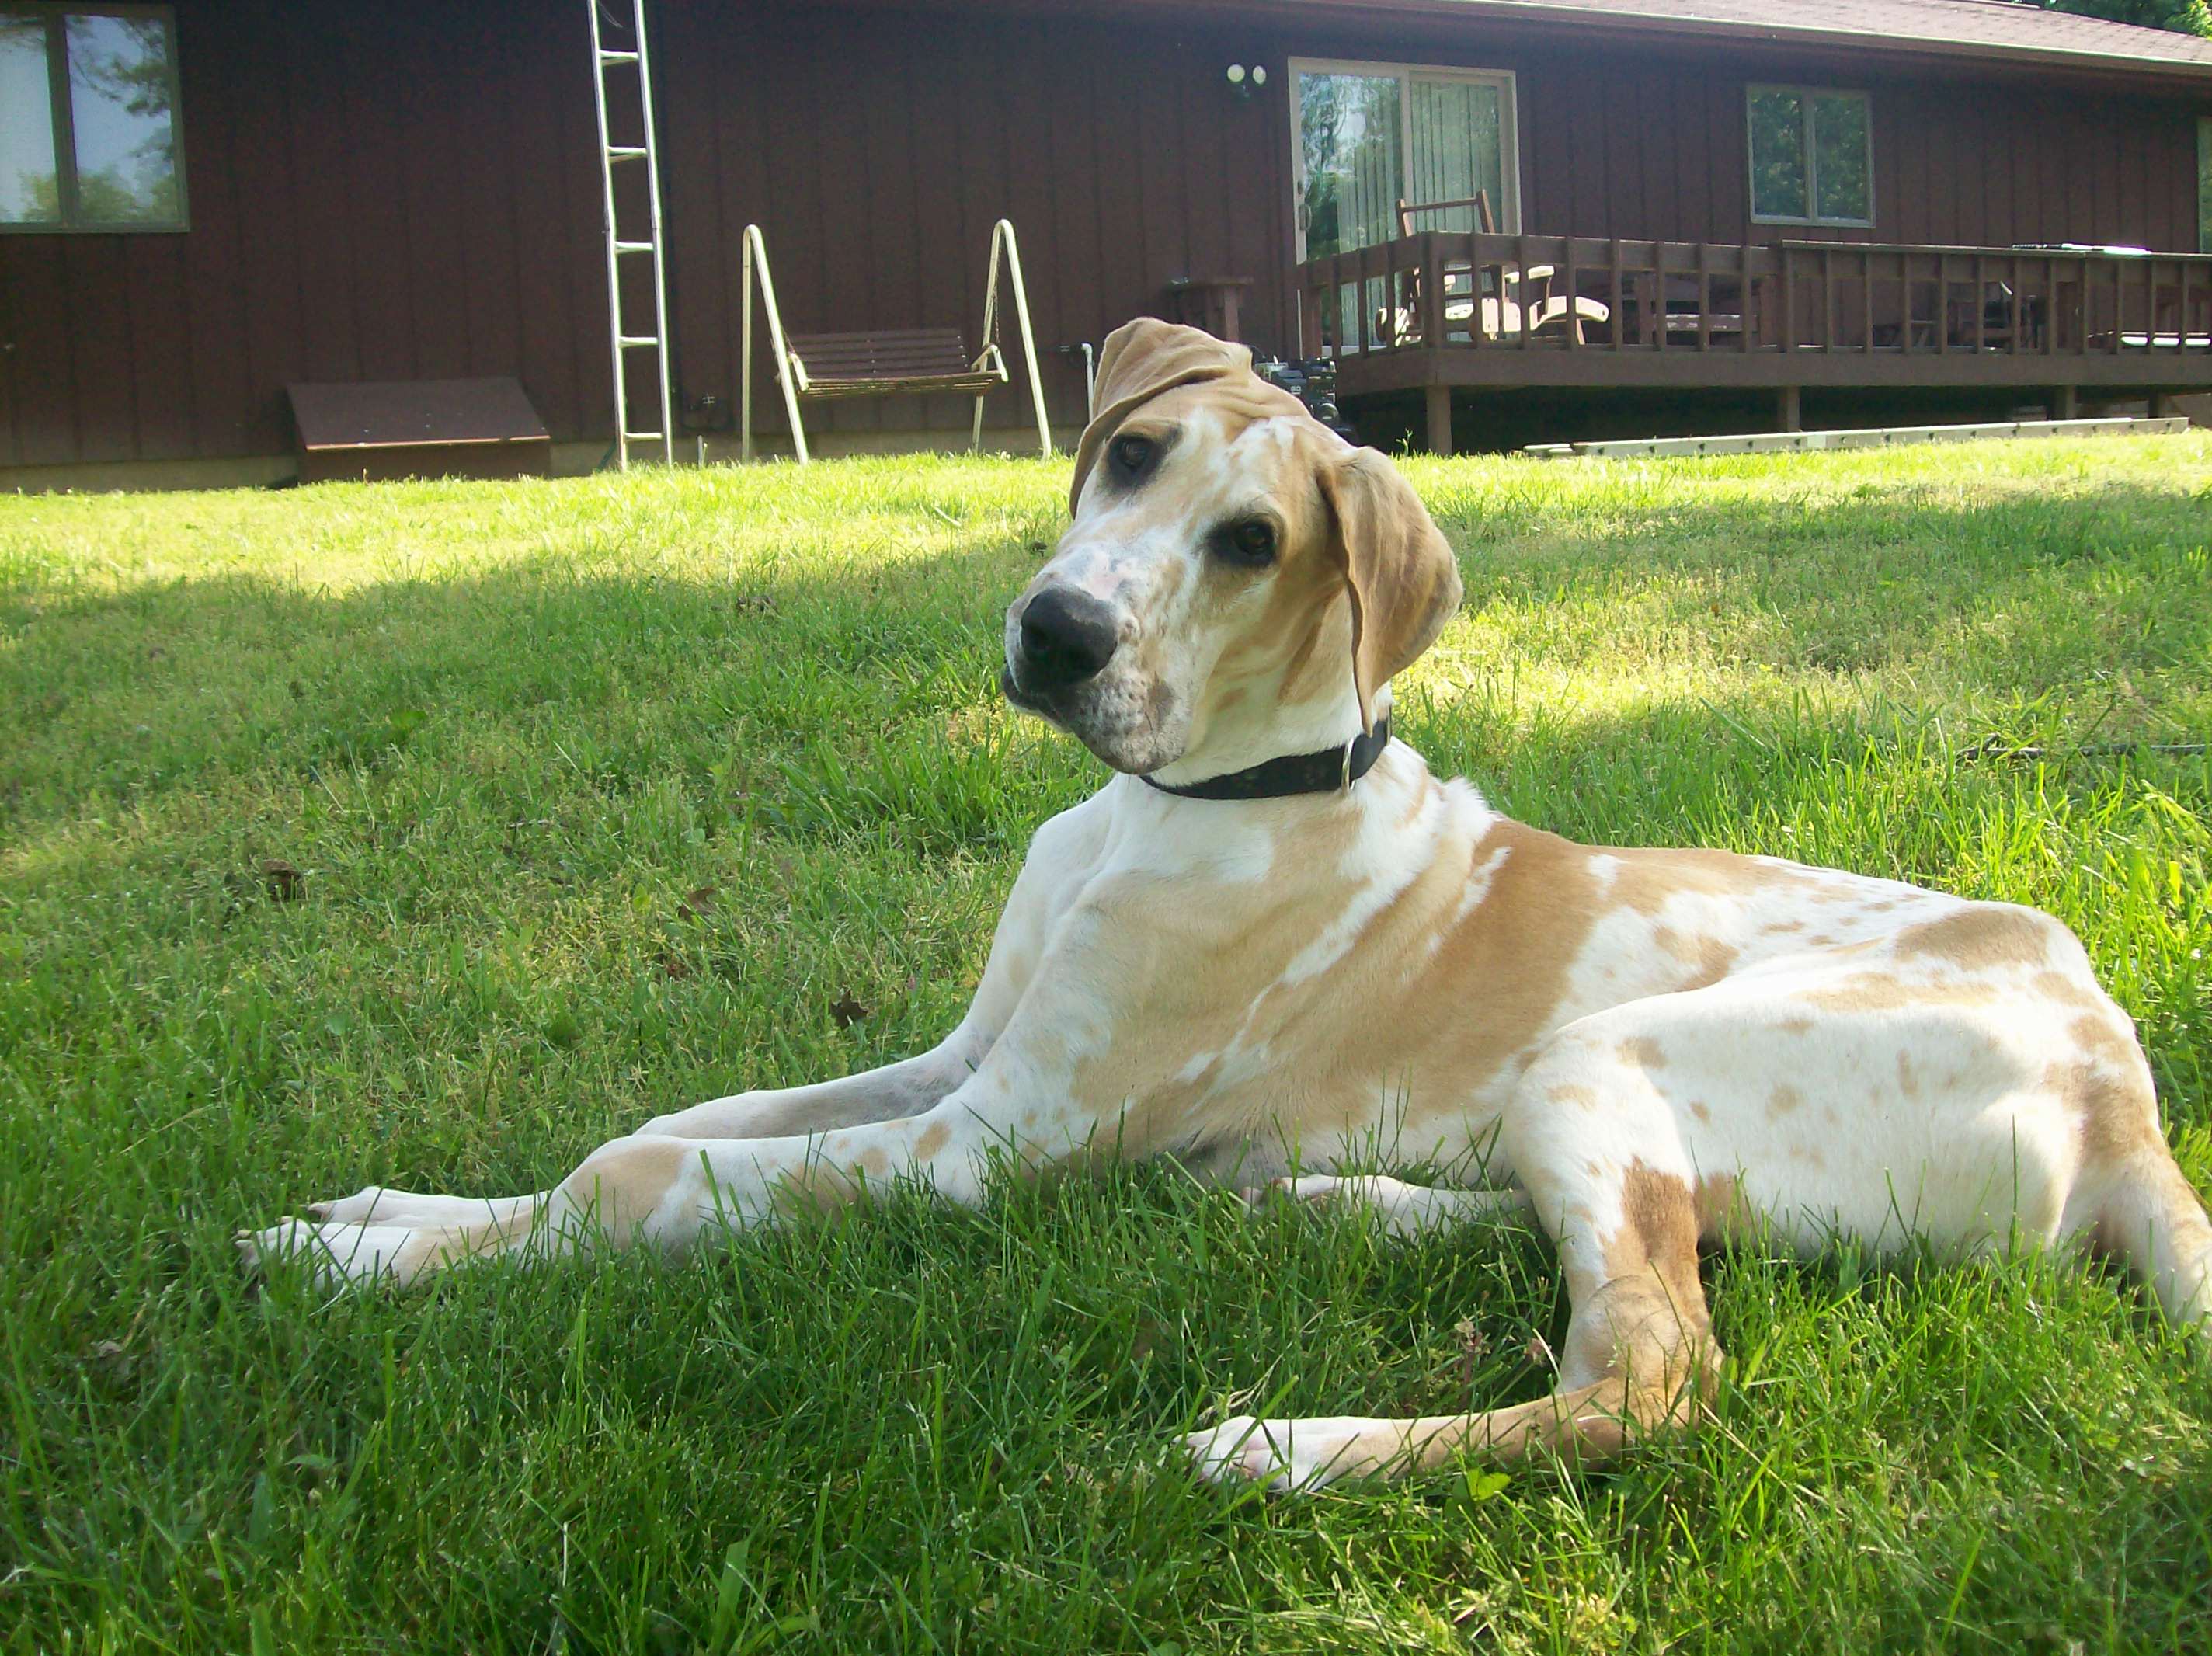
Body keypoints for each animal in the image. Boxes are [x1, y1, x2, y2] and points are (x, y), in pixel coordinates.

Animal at [251, 320, 2212, 1485]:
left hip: (1611, 1050)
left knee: (1646, 1378)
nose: (1057, 638)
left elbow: (643, 1177)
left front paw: (361, 1263)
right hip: (1578, 1103)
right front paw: (396, 1207)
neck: (1175, 802)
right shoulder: (958, 1064)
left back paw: (1272, 1444)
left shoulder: (977, 1145)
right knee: (1613, 1258)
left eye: (1251, 544)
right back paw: (1306, 1203)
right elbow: (671, 1120)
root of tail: (2121, 1093)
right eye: (1127, 459)